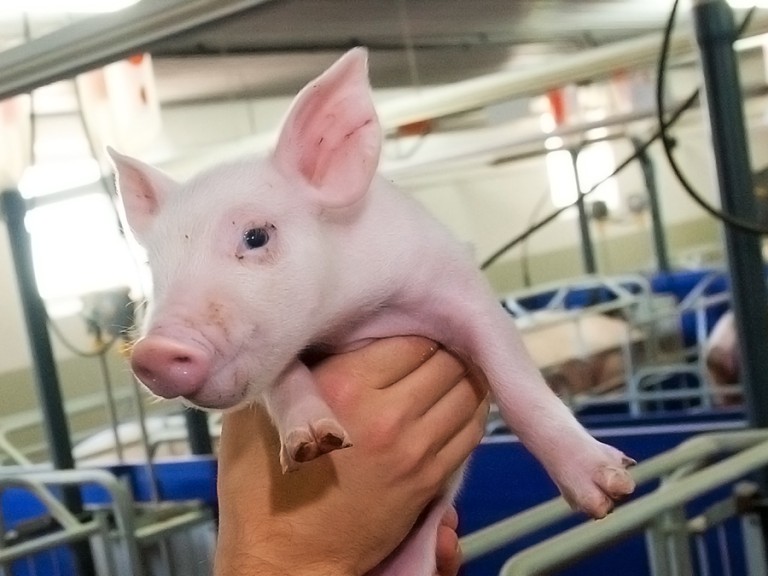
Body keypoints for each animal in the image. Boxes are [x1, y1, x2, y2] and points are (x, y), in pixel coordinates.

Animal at [108, 48, 636, 576]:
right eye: (155, 266)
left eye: (256, 236)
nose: (153, 353)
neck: (352, 320)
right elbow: (284, 381)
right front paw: (315, 446)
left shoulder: (460, 285)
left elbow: (518, 384)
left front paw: (611, 491)